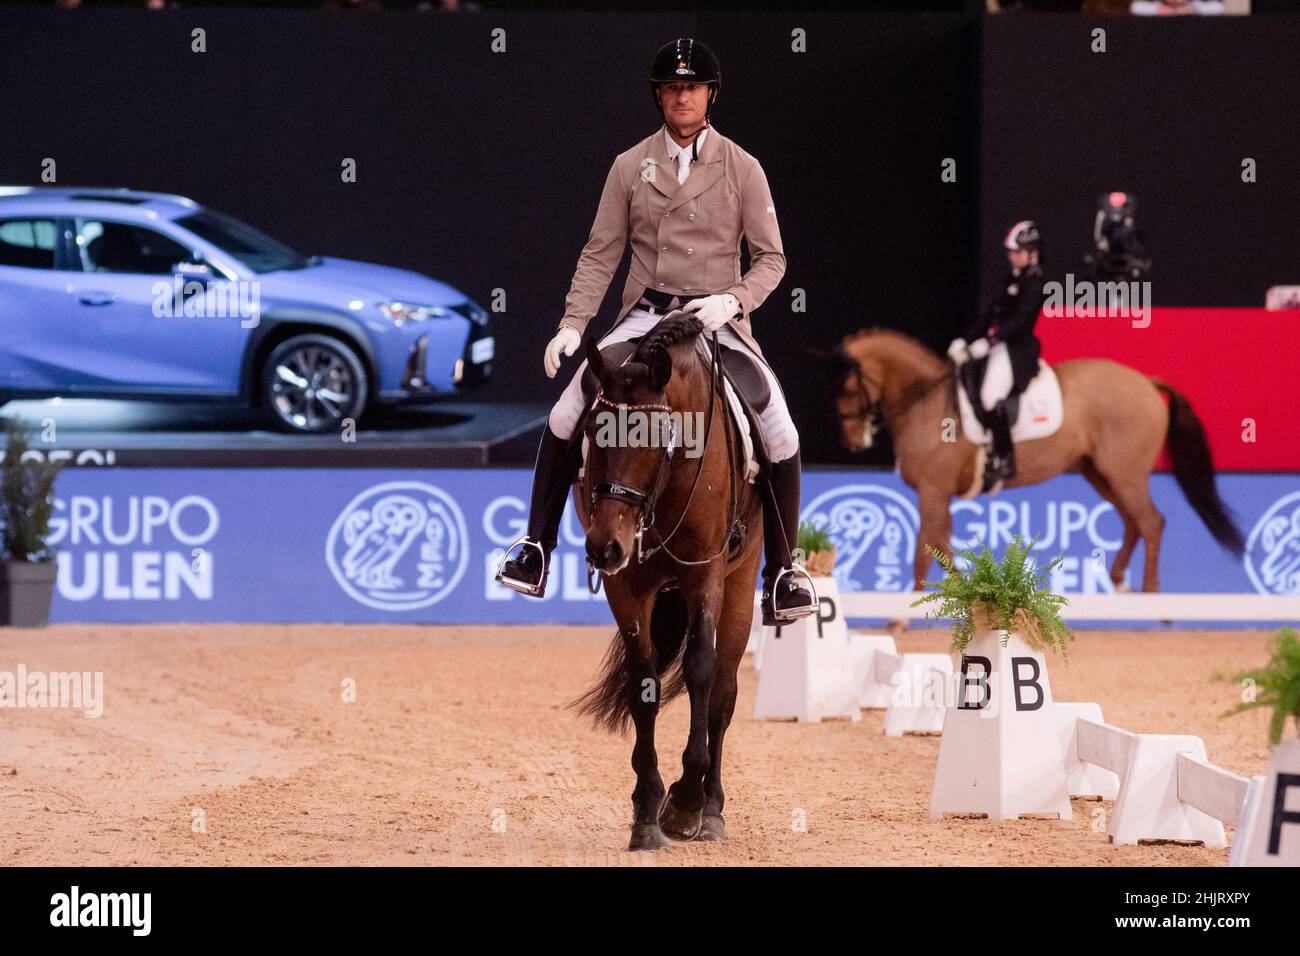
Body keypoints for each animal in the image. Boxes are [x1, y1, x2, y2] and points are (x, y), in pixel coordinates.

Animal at [571, 312, 764, 851]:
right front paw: (646, 811)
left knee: (723, 692)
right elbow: (644, 682)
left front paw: (684, 802)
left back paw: (711, 808)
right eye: (592, 430)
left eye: (656, 435)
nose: (604, 548)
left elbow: (700, 669)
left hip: (742, 583)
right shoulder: (627, 587)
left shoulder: (706, 576)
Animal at [827, 328, 1244, 592]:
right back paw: (1121, 583)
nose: (852, 443)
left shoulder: (933, 490)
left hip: (1125, 474)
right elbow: (938, 545)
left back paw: (1152, 595)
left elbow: (926, 549)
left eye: (847, 387)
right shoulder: (936, 495)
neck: (925, 403)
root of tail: (1146, 380)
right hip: (1101, 474)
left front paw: (906, 612)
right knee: (1133, 523)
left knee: (1151, 523)